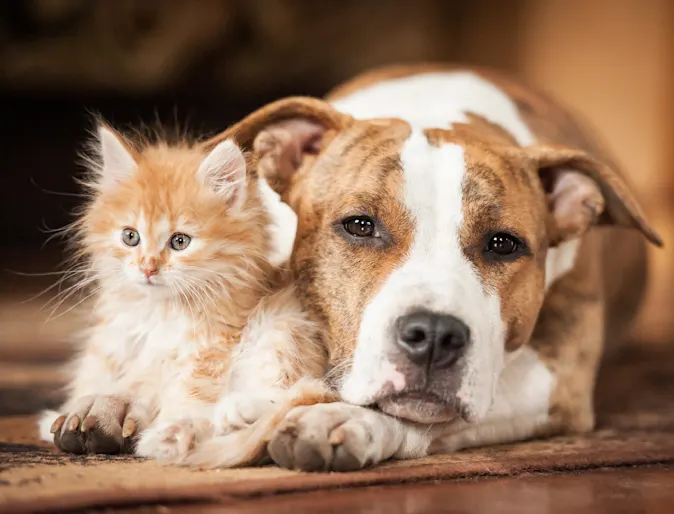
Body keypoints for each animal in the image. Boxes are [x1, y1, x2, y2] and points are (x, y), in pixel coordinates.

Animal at [36, 125, 326, 460]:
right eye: (130, 237)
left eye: (180, 242)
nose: (148, 267)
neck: (159, 312)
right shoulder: (112, 345)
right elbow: (102, 379)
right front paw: (73, 414)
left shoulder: (215, 345)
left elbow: (191, 389)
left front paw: (168, 434)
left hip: (283, 323)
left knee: (296, 391)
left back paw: (228, 416)